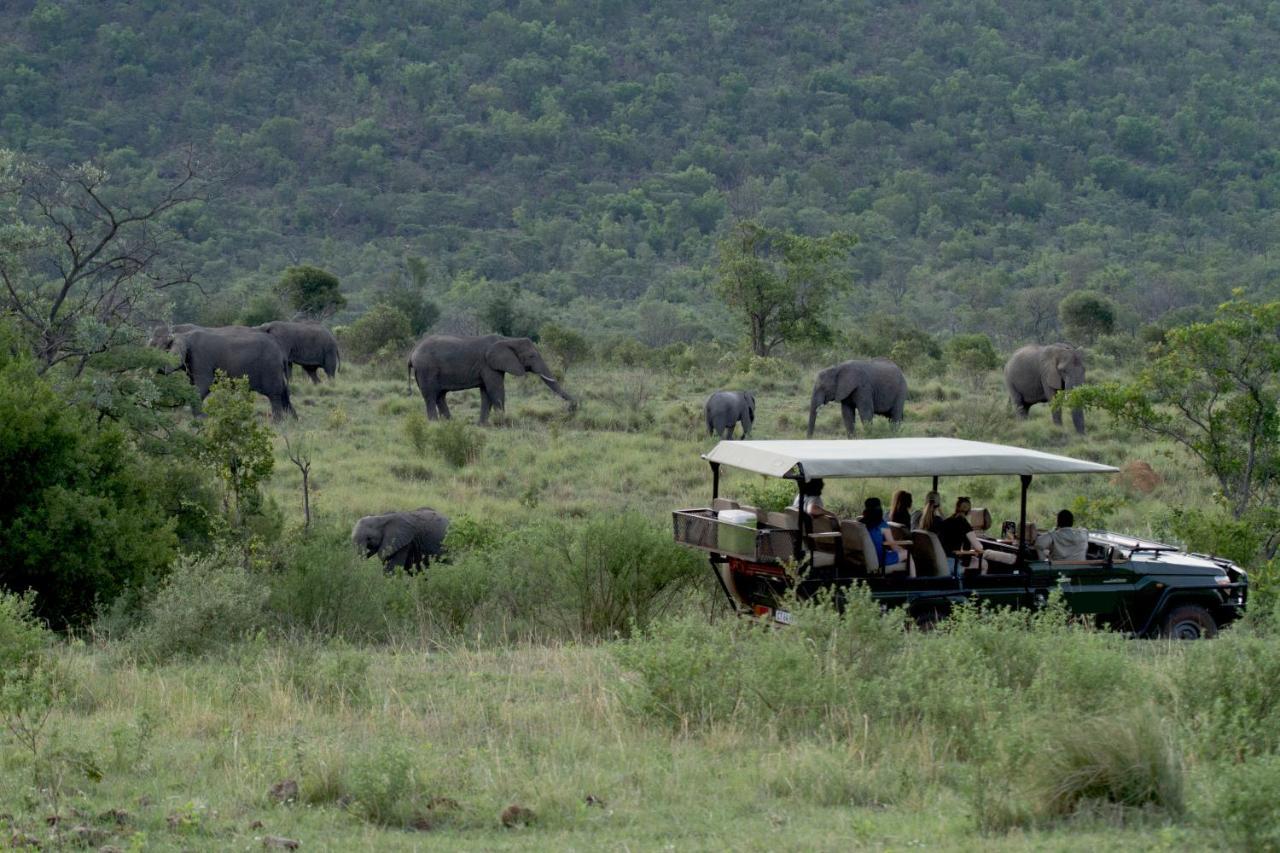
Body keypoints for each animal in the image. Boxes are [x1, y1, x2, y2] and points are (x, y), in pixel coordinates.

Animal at [409, 333, 576, 422]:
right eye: (531, 356)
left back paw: (450, 423)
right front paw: (503, 422)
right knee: (431, 396)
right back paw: (435, 424)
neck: (508, 339)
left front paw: (482, 425)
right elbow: (495, 390)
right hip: (426, 370)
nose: (571, 408)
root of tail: (412, 353)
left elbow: (486, 393)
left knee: (440, 395)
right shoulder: (488, 365)